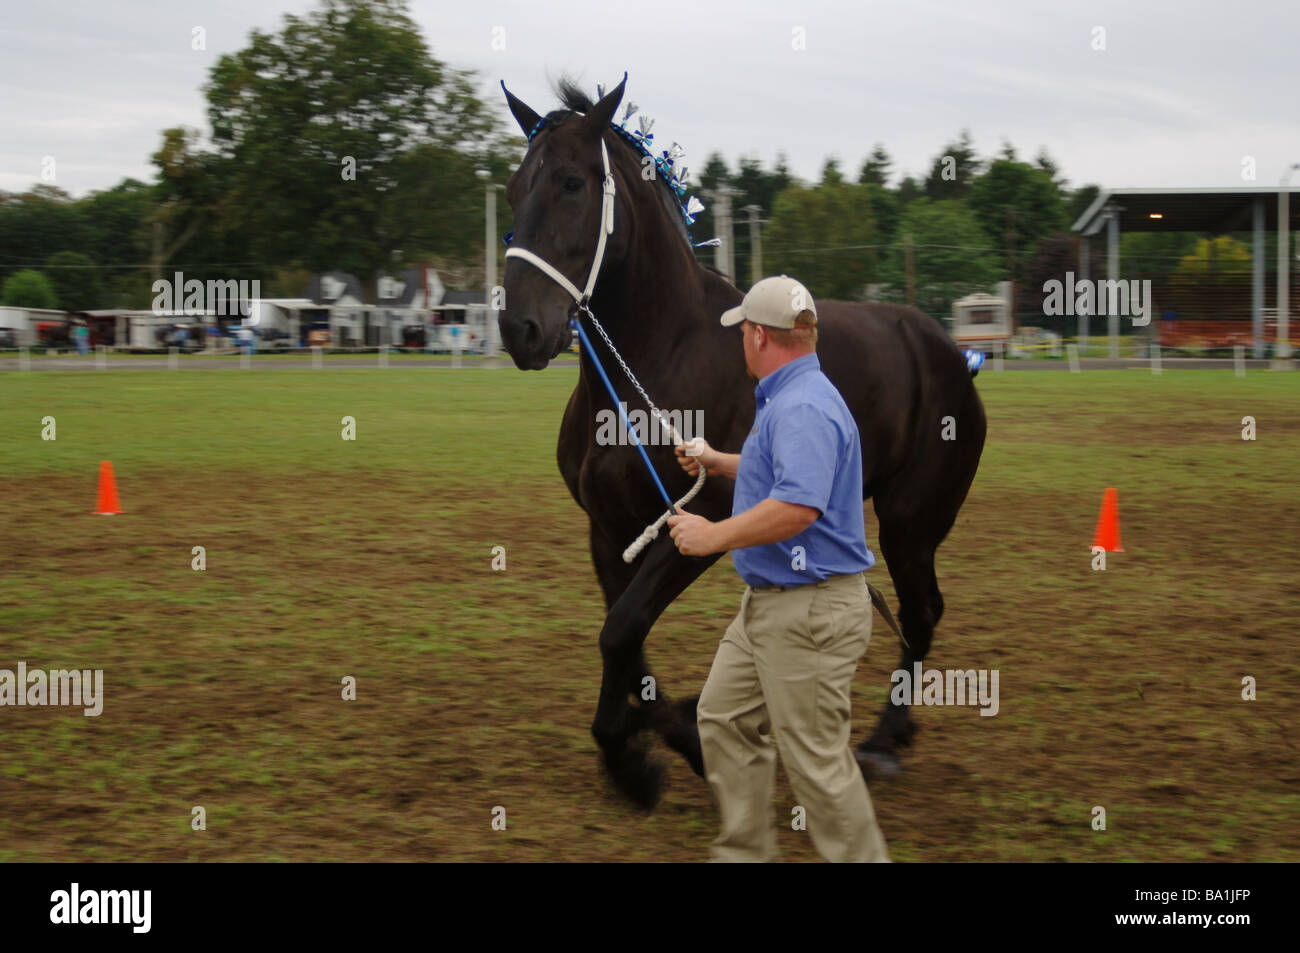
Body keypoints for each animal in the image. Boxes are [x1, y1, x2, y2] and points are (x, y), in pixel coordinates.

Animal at [496, 74, 982, 806]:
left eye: (573, 183)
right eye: (513, 187)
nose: (519, 328)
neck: (659, 356)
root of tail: (950, 349)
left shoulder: (705, 518)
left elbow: (621, 633)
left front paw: (644, 755)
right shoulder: (610, 531)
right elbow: (626, 641)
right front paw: (659, 742)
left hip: (910, 520)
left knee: (922, 612)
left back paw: (882, 740)